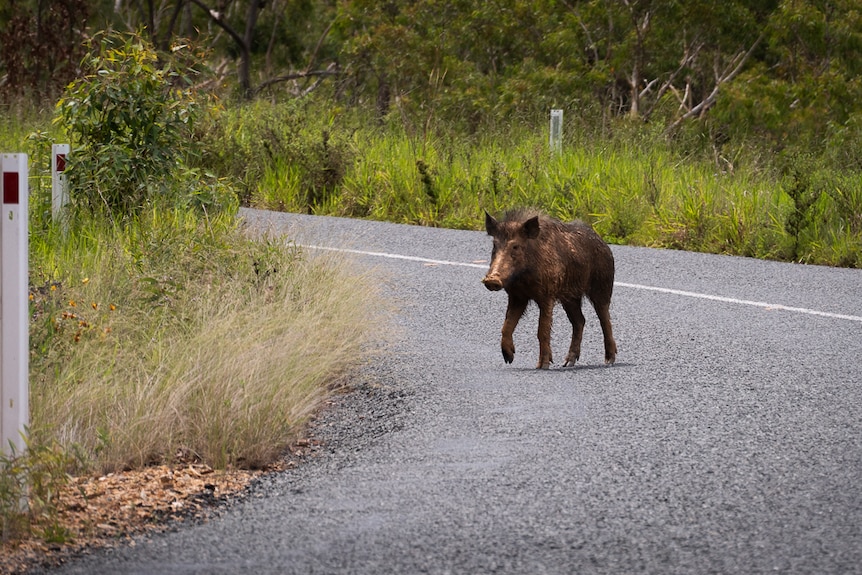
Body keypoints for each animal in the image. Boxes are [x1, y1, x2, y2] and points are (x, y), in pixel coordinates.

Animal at [482, 209, 616, 372]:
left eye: (515, 246)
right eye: (494, 245)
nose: (491, 280)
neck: (524, 277)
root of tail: (604, 244)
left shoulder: (547, 295)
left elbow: (542, 330)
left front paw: (543, 366)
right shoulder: (517, 297)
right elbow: (506, 325)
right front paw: (509, 359)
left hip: (602, 287)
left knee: (605, 320)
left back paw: (609, 360)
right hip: (570, 298)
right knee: (580, 320)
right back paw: (567, 363)